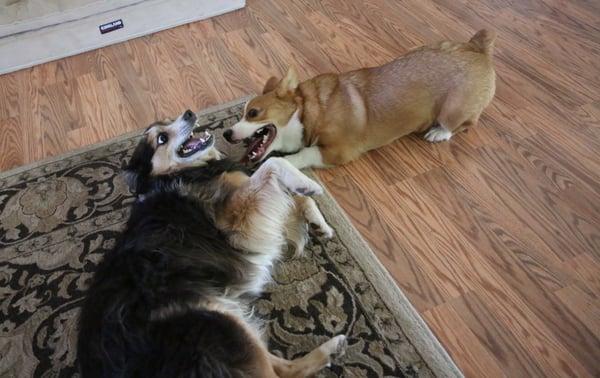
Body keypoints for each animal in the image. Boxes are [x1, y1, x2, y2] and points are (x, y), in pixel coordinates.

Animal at [223, 28, 494, 167]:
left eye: (254, 113)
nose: (225, 133)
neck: (309, 112)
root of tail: (478, 48)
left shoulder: (338, 152)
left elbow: (301, 156)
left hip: (452, 110)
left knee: (465, 124)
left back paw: (438, 132)